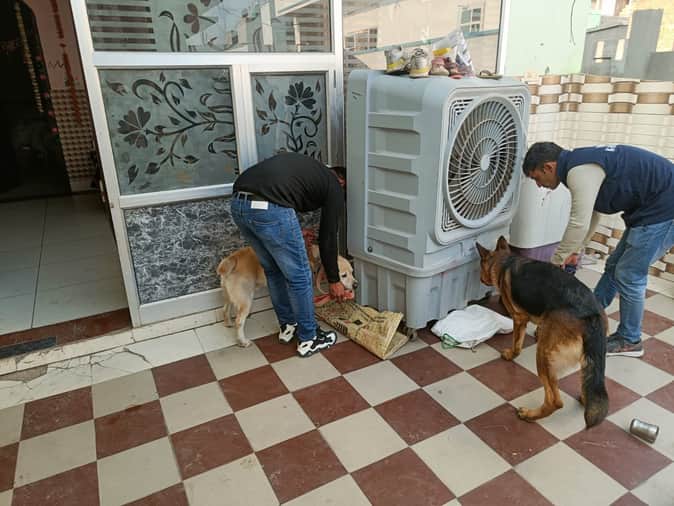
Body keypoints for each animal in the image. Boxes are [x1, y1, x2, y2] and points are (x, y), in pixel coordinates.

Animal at [217, 246, 357, 347]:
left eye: (352, 271)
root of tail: (232, 259)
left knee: (225, 309)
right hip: (246, 299)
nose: (356, 285)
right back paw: (243, 341)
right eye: (343, 275)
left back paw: (228, 323)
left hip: (228, 294)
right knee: (239, 321)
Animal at [476, 237, 609, 428]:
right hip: (588, 360)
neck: (505, 261)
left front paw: (510, 355)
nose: (480, 279)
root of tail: (592, 316)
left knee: (555, 401)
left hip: (544, 355)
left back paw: (530, 415)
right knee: (589, 383)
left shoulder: (519, 318)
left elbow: (517, 343)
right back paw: (585, 398)